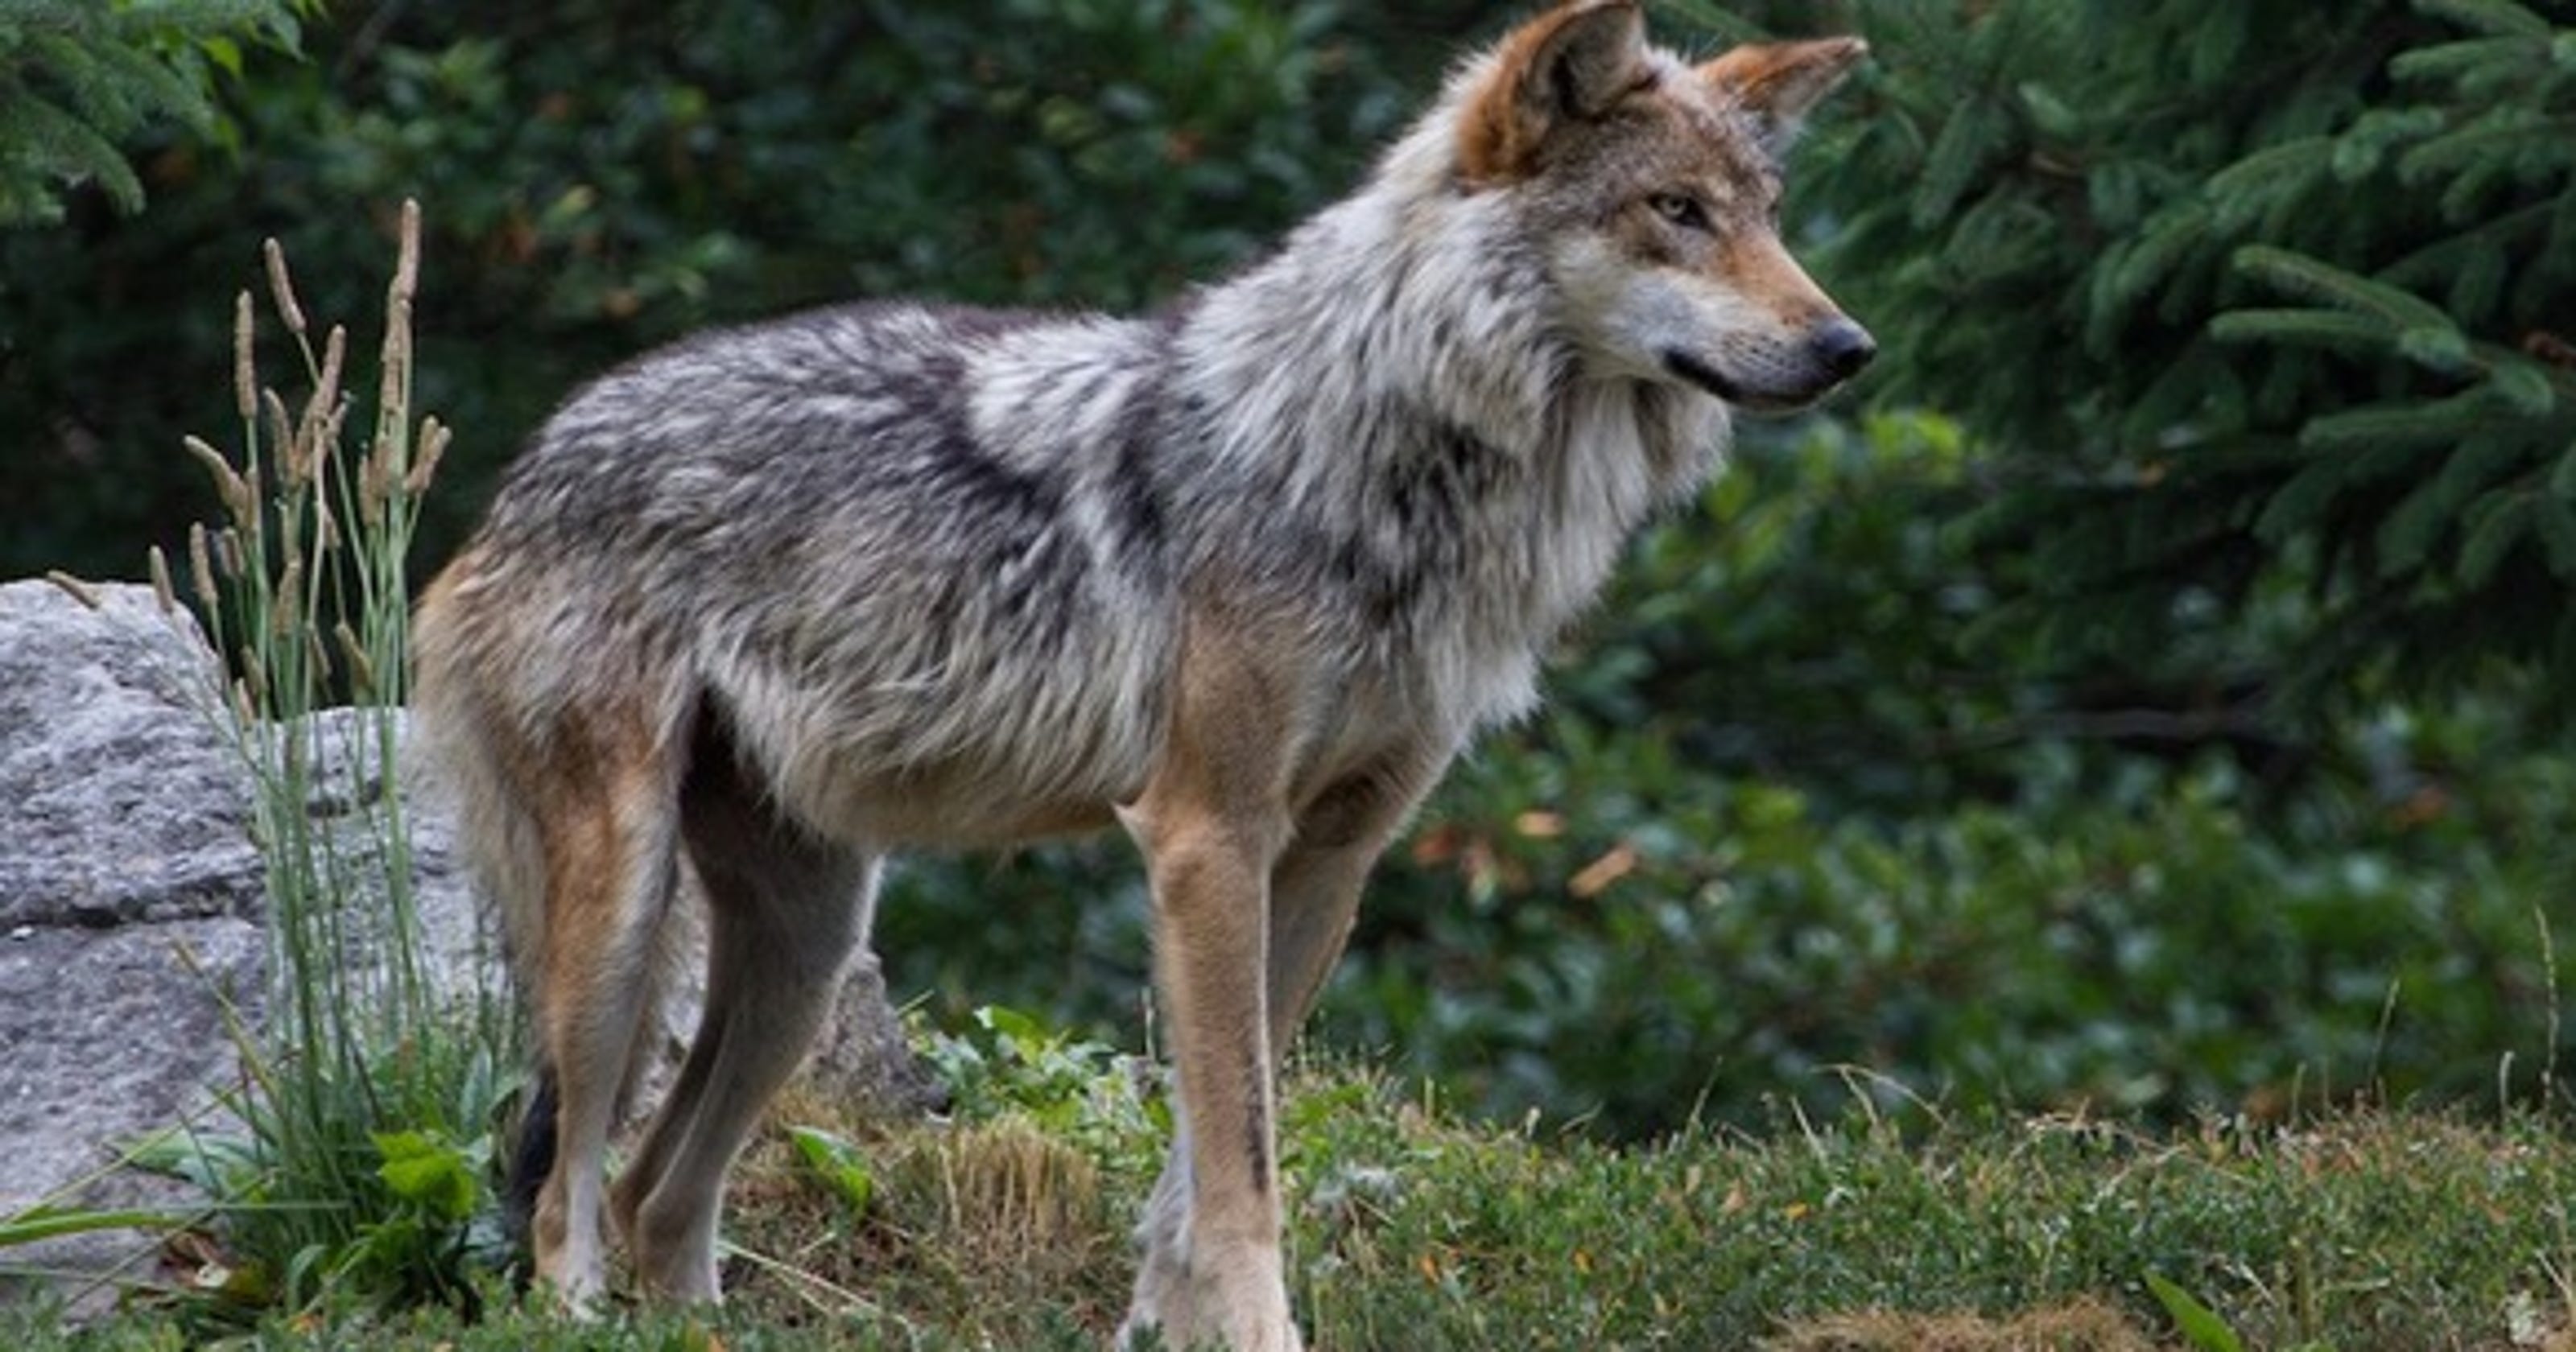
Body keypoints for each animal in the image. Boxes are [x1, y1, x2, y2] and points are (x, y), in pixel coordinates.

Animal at [412, 2, 1871, 1347]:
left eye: (1767, 217)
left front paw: (1163, 1328)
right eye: (1674, 211)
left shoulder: (1330, 857)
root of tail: (534, 459)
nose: (1847, 346)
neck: (1385, 467)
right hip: (624, 913)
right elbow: (1243, 1162)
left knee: (656, 1189)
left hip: (810, 952)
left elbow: (1208, 1155)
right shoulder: (1204, 836)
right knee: (568, 1188)